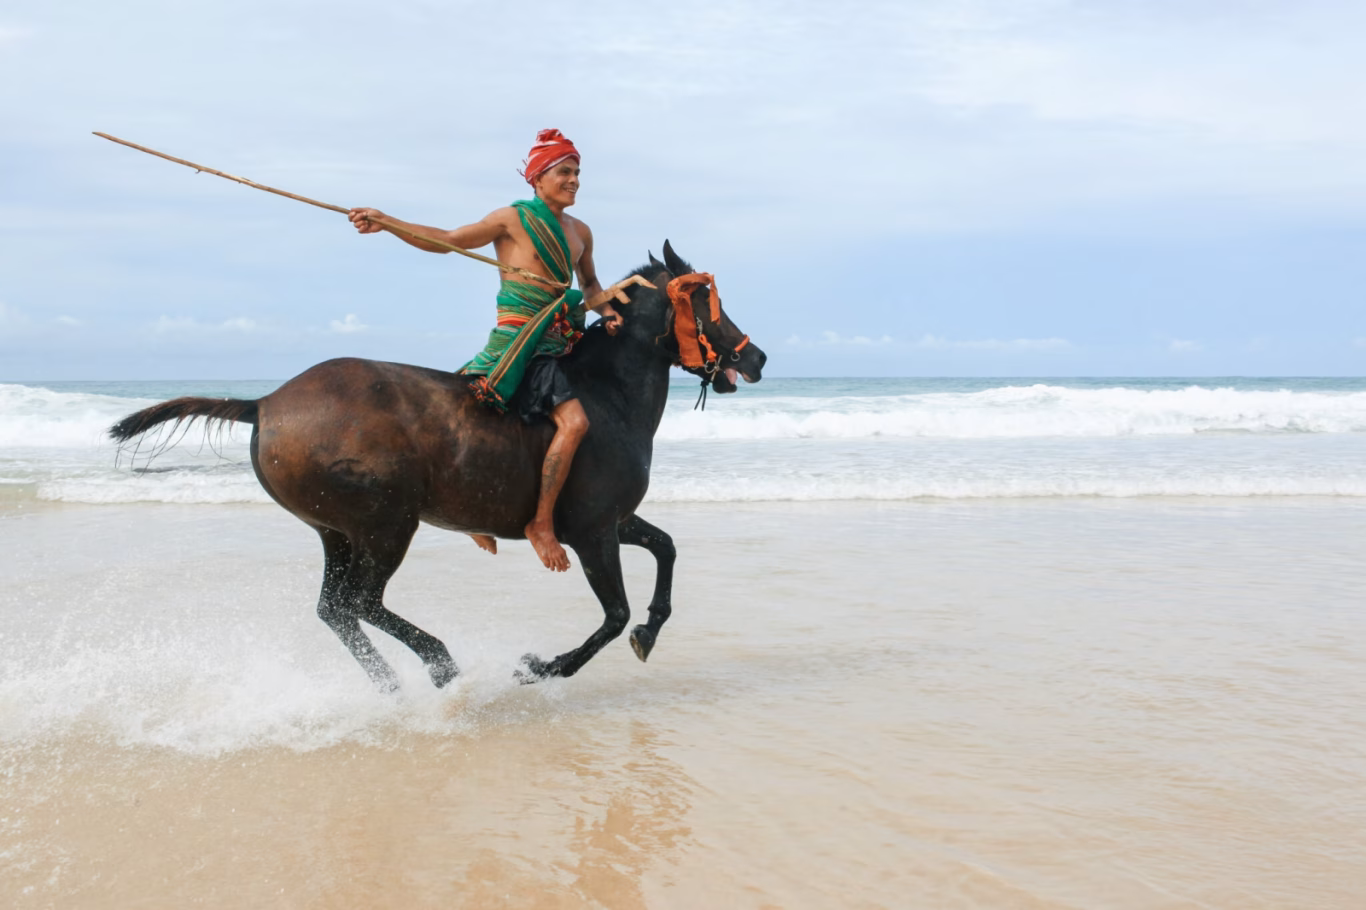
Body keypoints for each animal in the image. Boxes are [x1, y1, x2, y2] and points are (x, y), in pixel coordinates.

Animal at [109, 241, 767, 690]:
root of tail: (266, 403)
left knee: (334, 609)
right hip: (386, 525)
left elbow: (666, 549)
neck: (607, 394)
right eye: (704, 298)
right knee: (358, 604)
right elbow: (613, 614)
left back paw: (391, 685)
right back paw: (439, 664)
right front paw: (544, 667)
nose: (756, 357)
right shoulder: (592, 532)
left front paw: (649, 632)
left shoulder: (613, 522)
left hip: (335, 531)